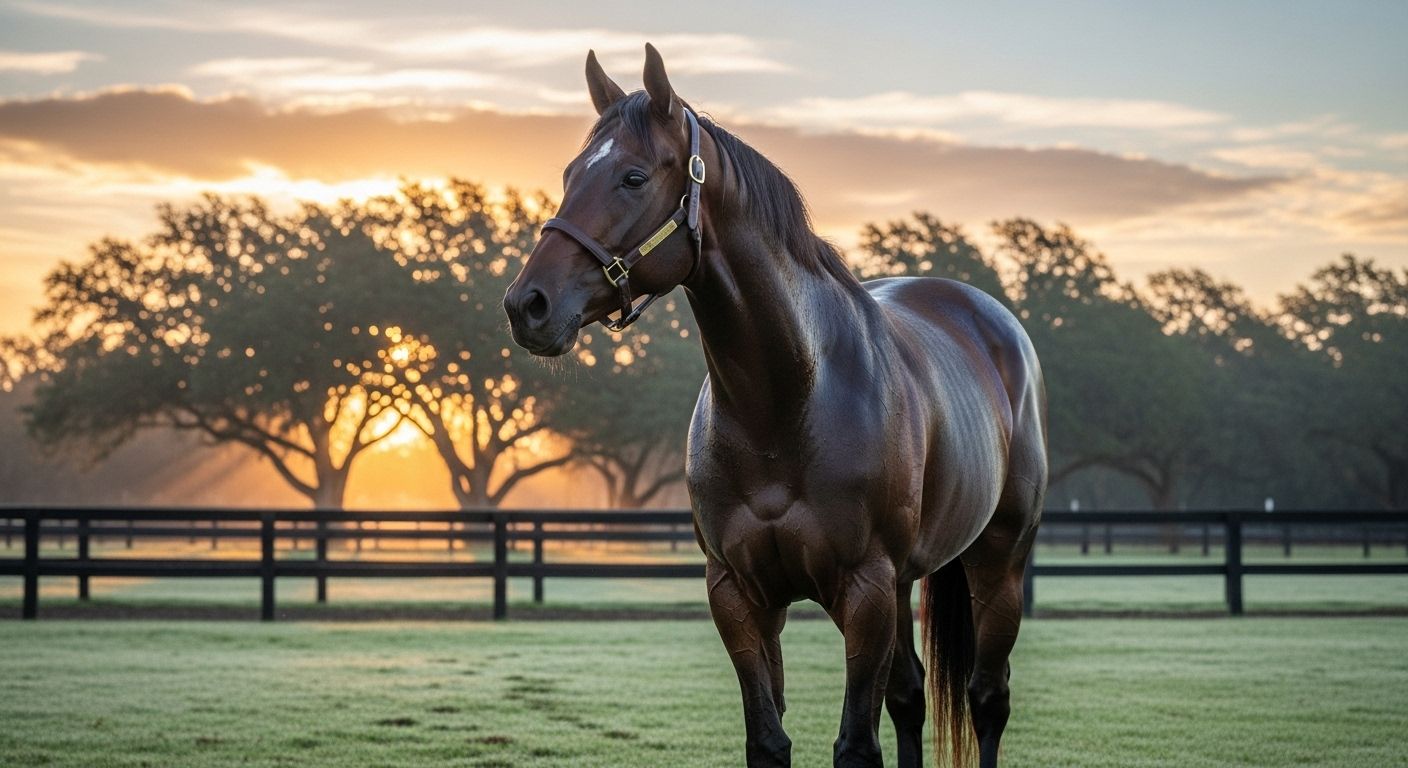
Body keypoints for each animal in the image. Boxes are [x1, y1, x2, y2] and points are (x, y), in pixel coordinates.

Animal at [504, 44, 1047, 768]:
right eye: (570, 174)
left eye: (633, 177)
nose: (527, 305)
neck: (787, 404)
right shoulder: (741, 595)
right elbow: (769, 738)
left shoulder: (865, 593)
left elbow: (856, 745)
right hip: (907, 584)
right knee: (911, 697)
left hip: (998, 564)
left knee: (987, 699)